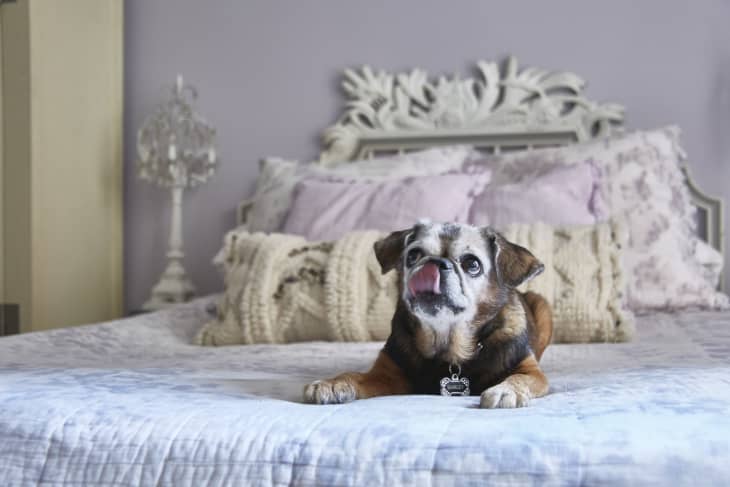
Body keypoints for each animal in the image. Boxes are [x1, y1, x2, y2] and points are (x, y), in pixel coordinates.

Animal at [302, 221, 552, 408]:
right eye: (413, 255)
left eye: (472, 264)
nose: (435, 263)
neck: (448, 347)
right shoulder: (386, 374)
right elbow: (354, 375)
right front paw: (333, 383)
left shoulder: (531, 373)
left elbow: (518, 378)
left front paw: (505, 390)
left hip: (542, 306)